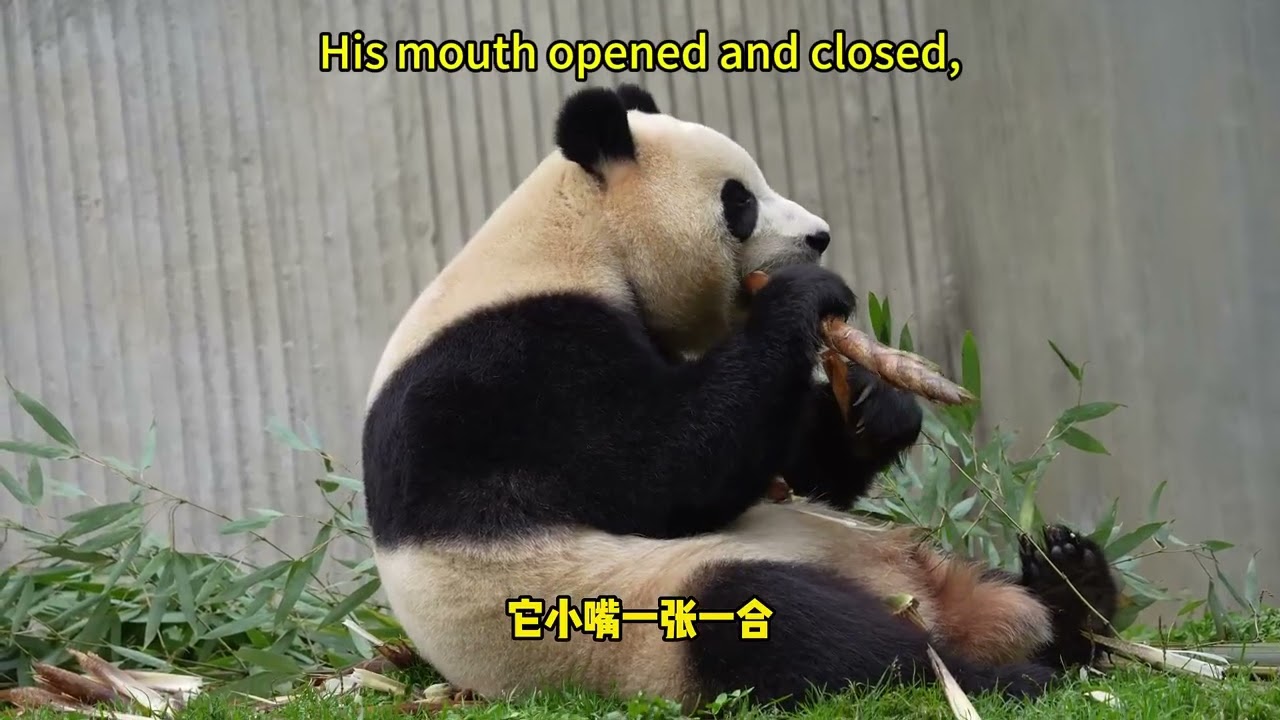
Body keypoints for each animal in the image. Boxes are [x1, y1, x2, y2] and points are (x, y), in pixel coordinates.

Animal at [361, 83, 1119, 712]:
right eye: (740, 200)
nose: (820, 236)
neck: (572, 238)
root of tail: (926, 603)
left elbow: (785, 462)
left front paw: (878, 403)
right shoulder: (511, 367)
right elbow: (661, 471)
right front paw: (807, 299)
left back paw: (1071, 587)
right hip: (638, 617)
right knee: (792, 628)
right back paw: (994, 675)